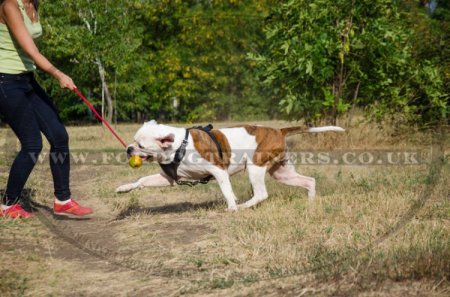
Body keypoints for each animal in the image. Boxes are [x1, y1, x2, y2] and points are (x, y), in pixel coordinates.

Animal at [117, 120, 344, 210]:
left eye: (141, 145)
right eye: (134, 141)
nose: (129, 148)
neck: (179, 145)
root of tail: (278, 130)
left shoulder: (218, 170)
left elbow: (227, 191)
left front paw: (233, 206)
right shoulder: (168, 178)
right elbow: (142, 180)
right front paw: (125, 188)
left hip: (255, 167)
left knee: (261, 194)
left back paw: (243, 207)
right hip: (282, 172)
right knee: (309, 181)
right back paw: (311, 202)